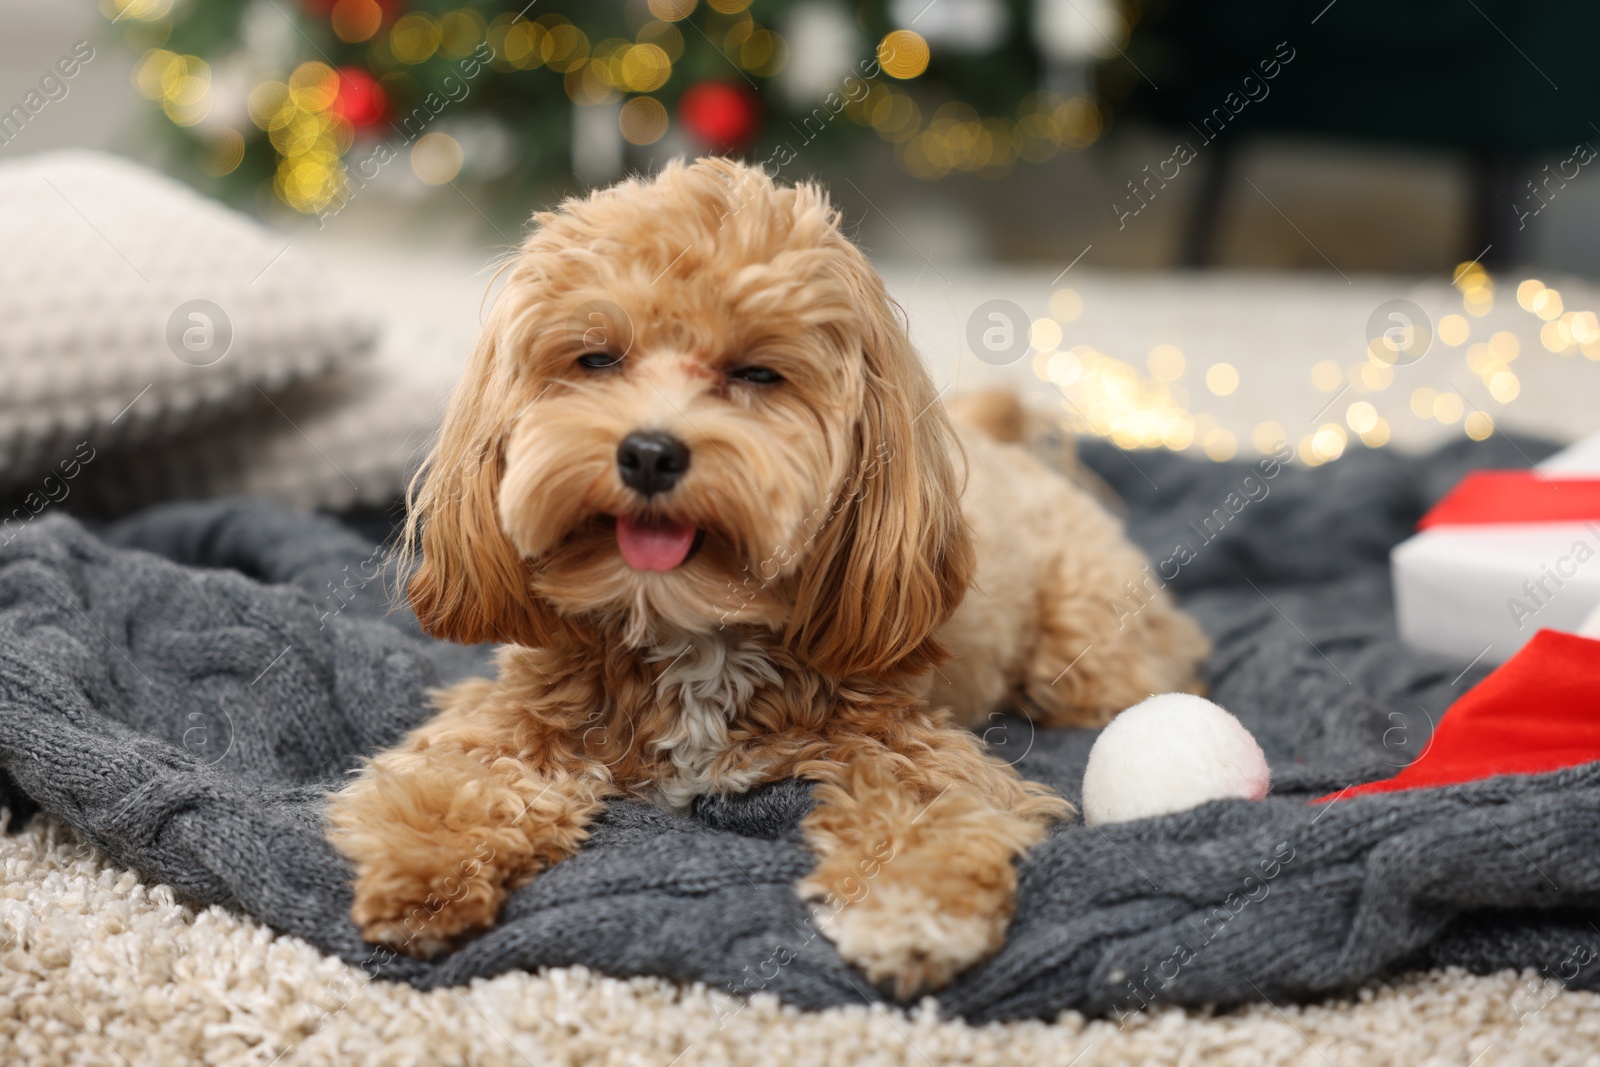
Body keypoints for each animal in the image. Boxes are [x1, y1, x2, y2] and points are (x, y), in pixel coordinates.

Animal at [321, 158, 1203, 1004]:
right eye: (597, 357)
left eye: (755, 373)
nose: (649, 452)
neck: (689, 628)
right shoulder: (519, 712)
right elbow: (463, 776)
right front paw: (426, 867)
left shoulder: (904, 739)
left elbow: (930, 811)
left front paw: (914, 909)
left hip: (1083, 643)